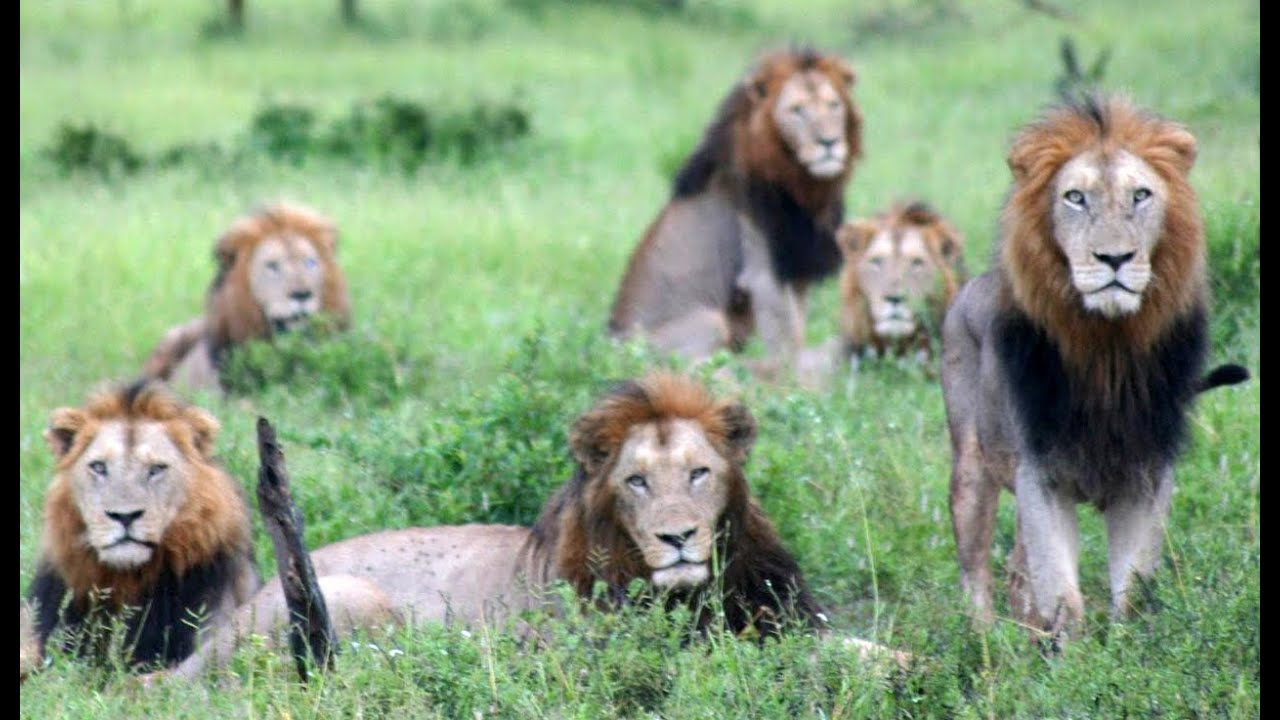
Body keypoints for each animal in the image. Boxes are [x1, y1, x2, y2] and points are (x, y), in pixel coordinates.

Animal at [606, 49, 860, 376]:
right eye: (797, 110)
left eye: (833, 105)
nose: (829, 143)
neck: (803, 185)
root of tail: (607, 347)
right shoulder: (765, 273)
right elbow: (787, 342)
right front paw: (791, 381)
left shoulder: (796, 267)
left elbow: (798, 329)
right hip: (707, 322)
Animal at [942, 92, 1249, 640]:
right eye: (1075, 197)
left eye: (1141, 195)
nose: (1114, 258)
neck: (1108, 349)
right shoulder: (1040, 473)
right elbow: (1063, 595)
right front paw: (1073, 655)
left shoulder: (1147, 476)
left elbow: (1132, 588)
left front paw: (1127, 649)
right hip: (971, 468)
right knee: (976, 572)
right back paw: (987, 642)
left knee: (1017, 568)